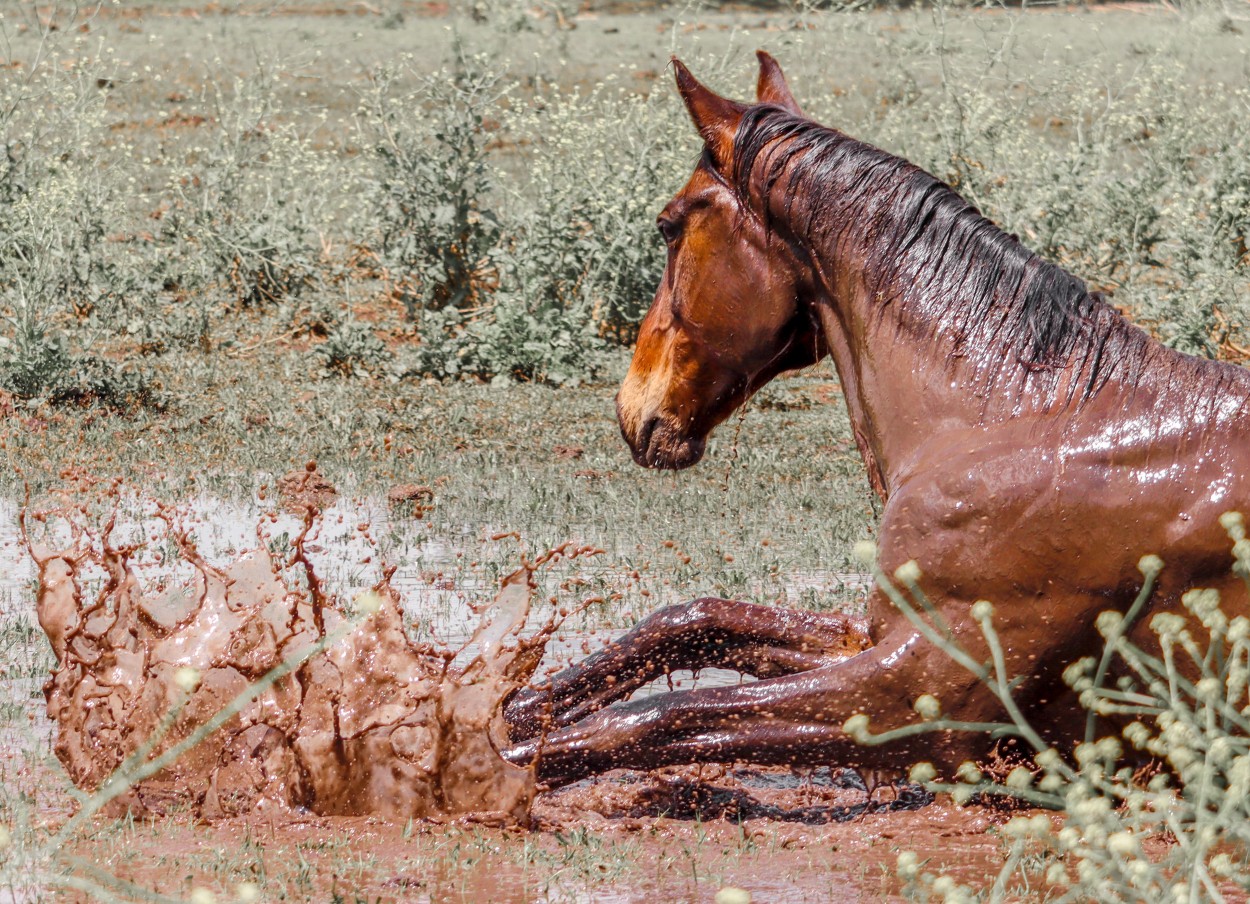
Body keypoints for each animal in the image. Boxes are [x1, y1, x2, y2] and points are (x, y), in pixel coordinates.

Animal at [502, 54, 1245, 790]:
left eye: (668, 224)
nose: (631, 409)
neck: (1017, 421)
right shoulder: (874, 635)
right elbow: (696, 619)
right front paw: (526, 703)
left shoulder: (921, 694)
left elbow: (663, 716)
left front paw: (493, 767)